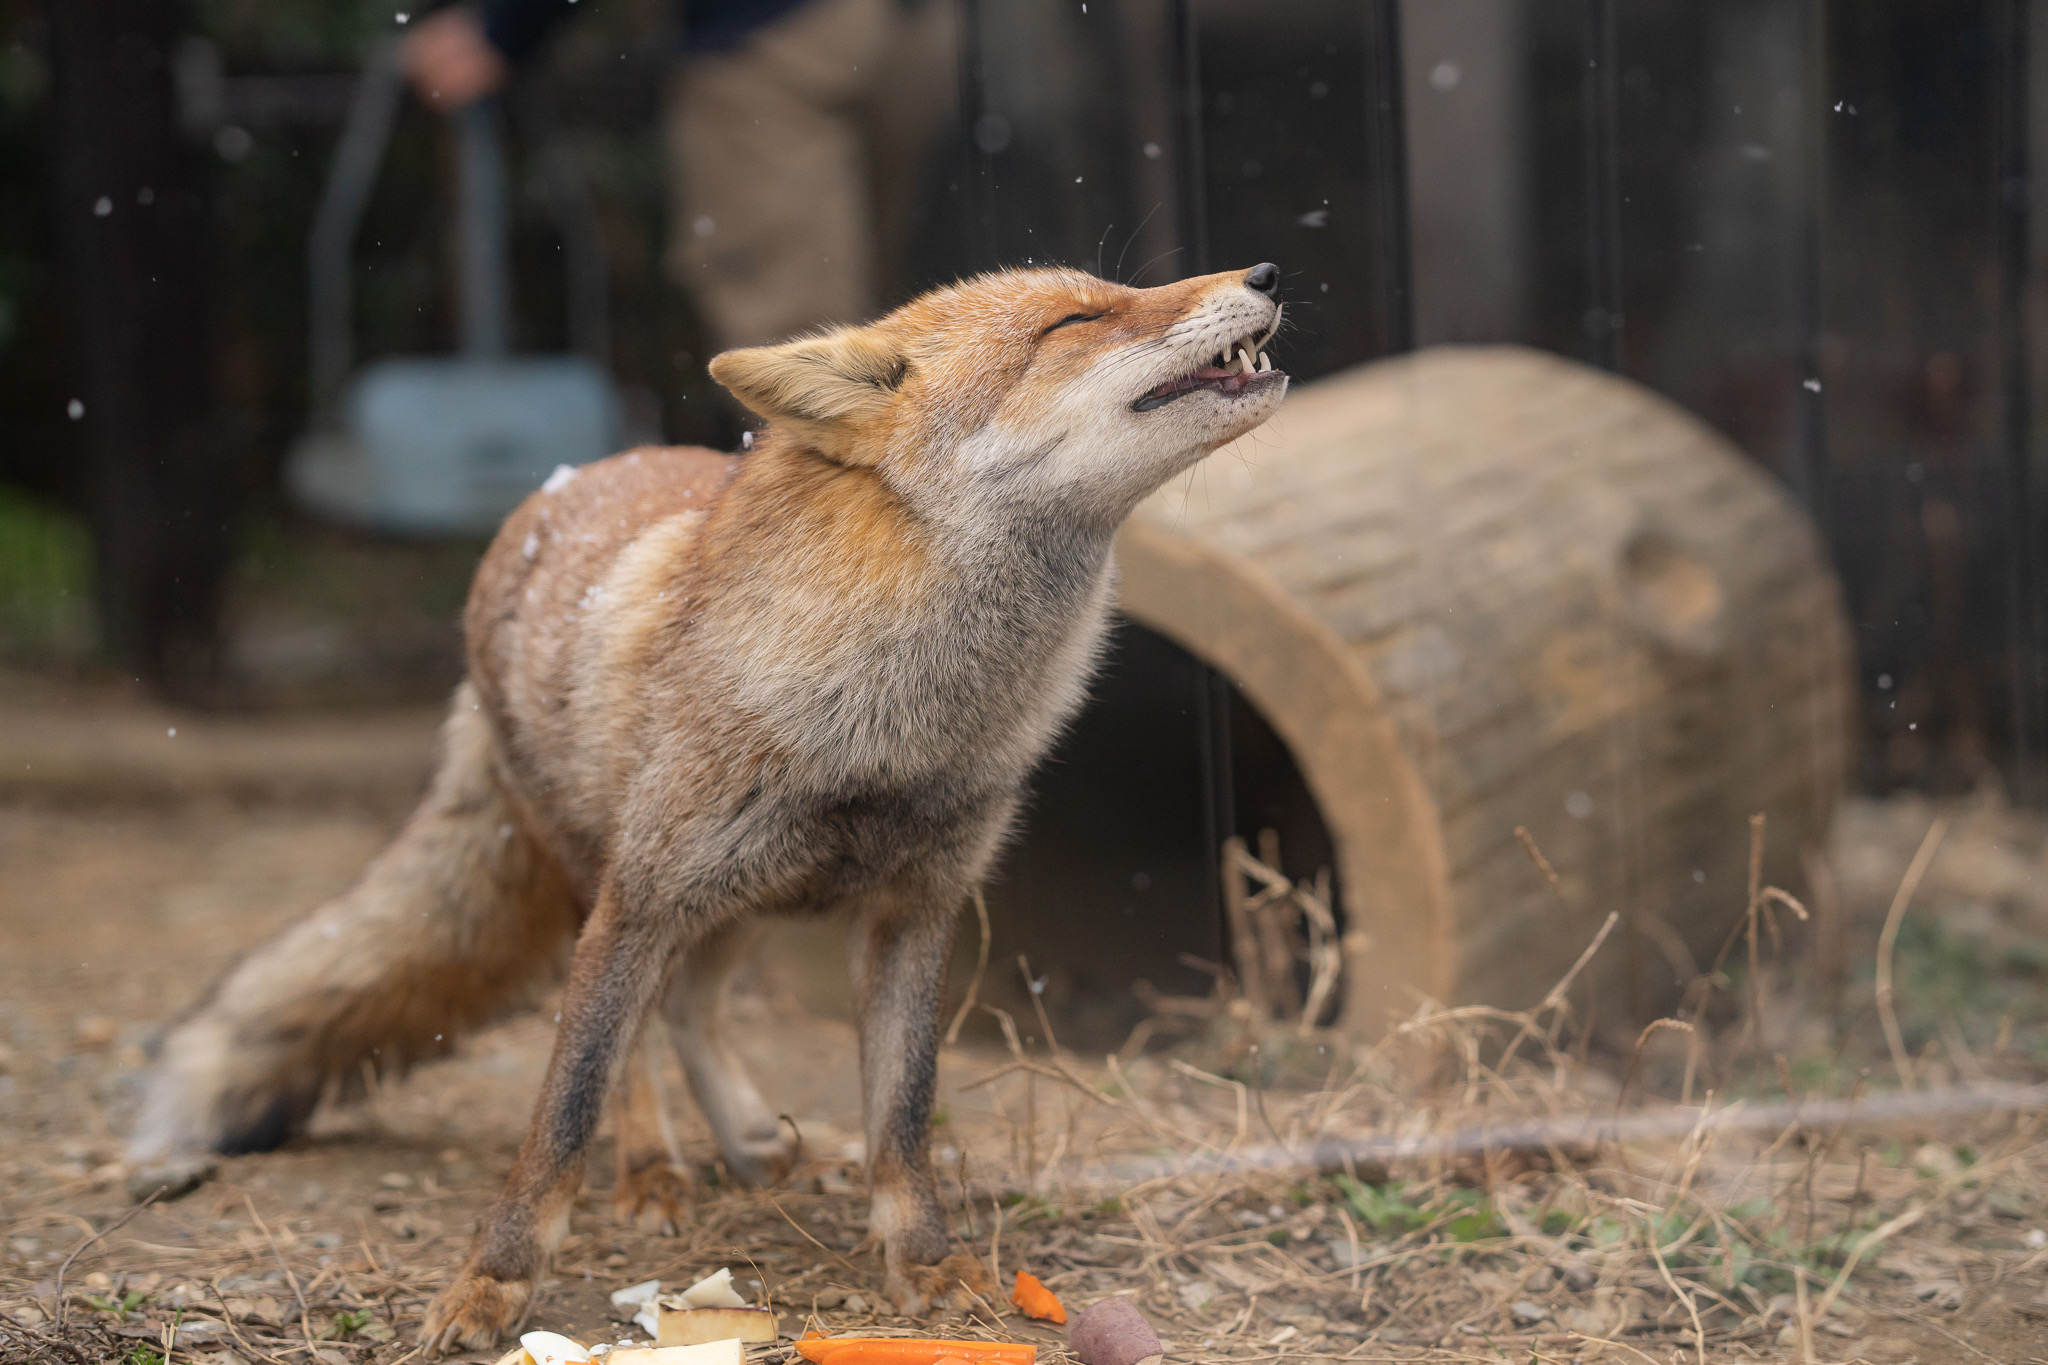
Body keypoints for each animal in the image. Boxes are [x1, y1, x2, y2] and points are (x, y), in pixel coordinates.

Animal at [128, 262, 1289, 1351]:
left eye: (1115, 292)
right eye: (1074, 321)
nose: (1265, 275)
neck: (892, 725)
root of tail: (562, 482)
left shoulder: (917, 908)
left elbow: (902, 1118)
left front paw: (923, 1264)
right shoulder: (643, 898)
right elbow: (562, 1116)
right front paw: (492, 1284)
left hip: (747, 900)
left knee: (691, 1009)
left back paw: (742, 1141)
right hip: (623, 886)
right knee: (637, 1046)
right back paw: (652, 1171)